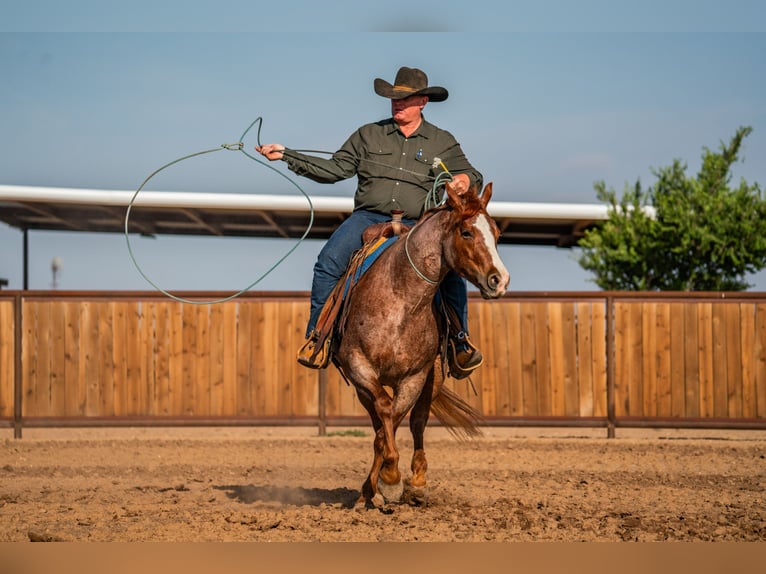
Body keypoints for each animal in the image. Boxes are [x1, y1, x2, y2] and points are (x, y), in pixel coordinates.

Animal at [332, 182, 510, 509]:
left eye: (496, 232)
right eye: (466, 232)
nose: (500, 280)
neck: (401, 300)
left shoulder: (416, 376)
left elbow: (395, 422)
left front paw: (389, 481)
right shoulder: (359, 367)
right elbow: (385, 415)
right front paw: (385, 481)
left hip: (434, 379)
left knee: (416, 422)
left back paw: (415, 482)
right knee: (381, 418)